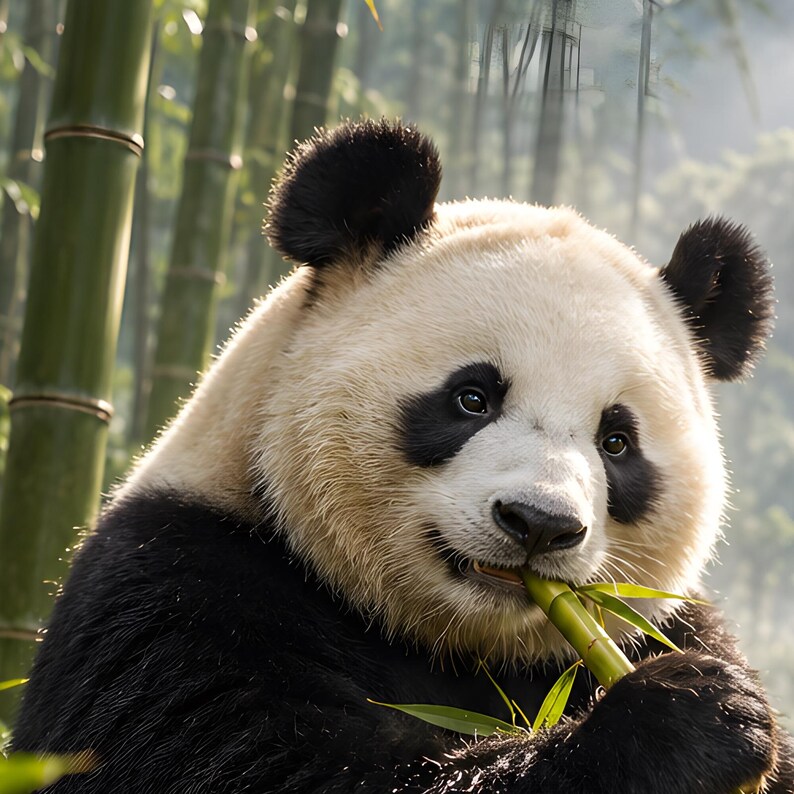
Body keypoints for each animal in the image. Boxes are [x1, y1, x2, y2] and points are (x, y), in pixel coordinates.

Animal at [13, 119, 794, 793]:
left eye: (616, 441)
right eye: (472, 398)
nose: (539, 524)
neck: (453, 643)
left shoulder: (662, 623)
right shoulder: (176, 587)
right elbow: (255, 762)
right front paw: (688, 717)